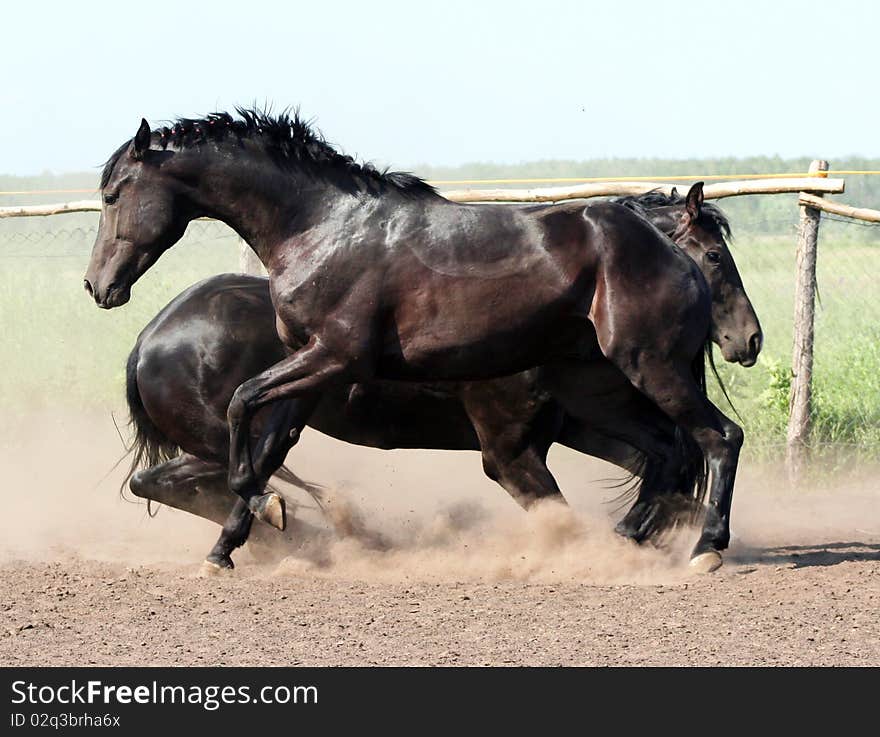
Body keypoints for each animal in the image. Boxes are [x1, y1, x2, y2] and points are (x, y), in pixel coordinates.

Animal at [84, 108, 764, 568]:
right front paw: (241, 532)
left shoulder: (337, 360)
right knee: (672, 449)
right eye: (715, 253)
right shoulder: (313, 367)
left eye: (113, 194)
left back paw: (704, 548)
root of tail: (148, 339)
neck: (322, 228)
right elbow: (259, 430)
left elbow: (244, 408)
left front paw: (266, 511)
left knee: (718, 438)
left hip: (647, 369)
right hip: (603, 390)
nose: (98, 285)